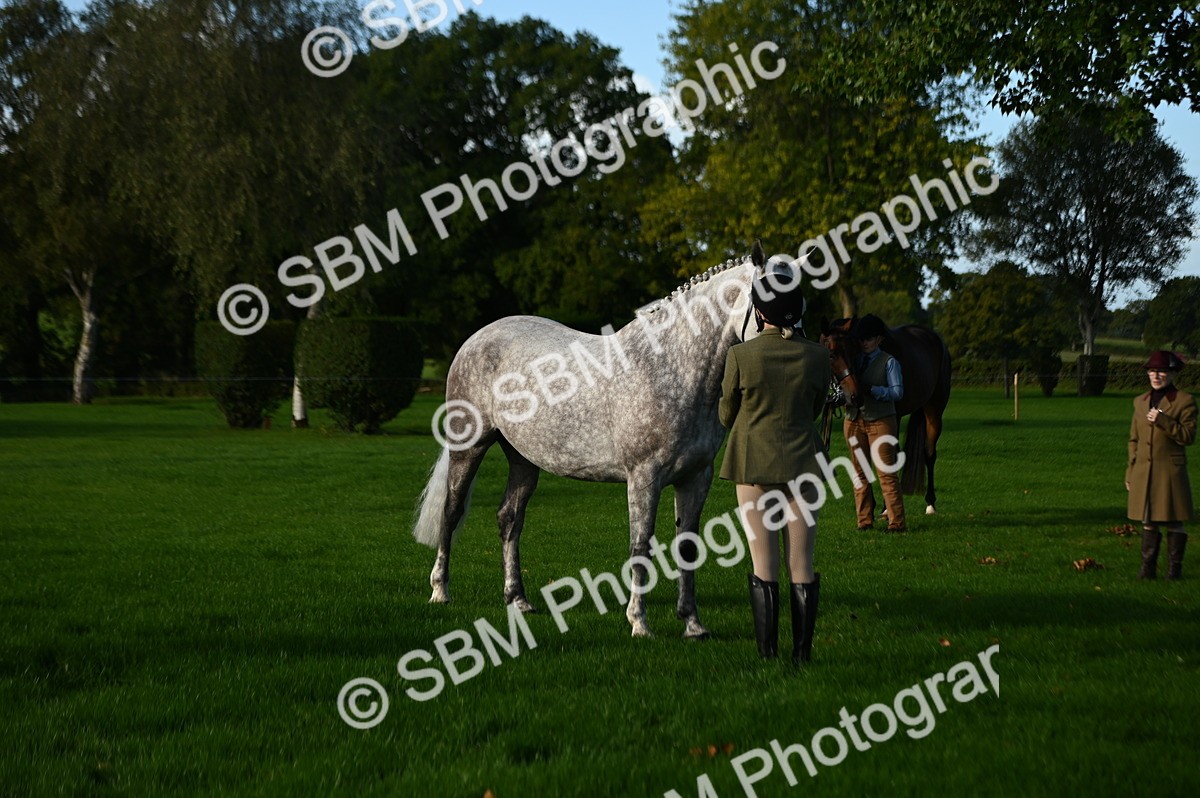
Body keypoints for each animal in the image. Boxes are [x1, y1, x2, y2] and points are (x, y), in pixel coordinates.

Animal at [412, 243, 789, 638]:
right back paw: (440, 591)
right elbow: (640, 546)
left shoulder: (695, 477)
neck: (669, 367)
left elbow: (687, 548)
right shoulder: (644, 476)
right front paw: (639, 623)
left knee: (509, 519)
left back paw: (518, 600)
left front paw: (692, 624)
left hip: (523, 459)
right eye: (770, 300)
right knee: (451, 511)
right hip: (468, 448)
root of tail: (476, 338)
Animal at [818, 317, 952, 515]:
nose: (855, 396)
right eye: (831, 354)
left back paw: (930, 503)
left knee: (929, 453)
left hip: (934, 411)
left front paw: (885, 508)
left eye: (852, 351)